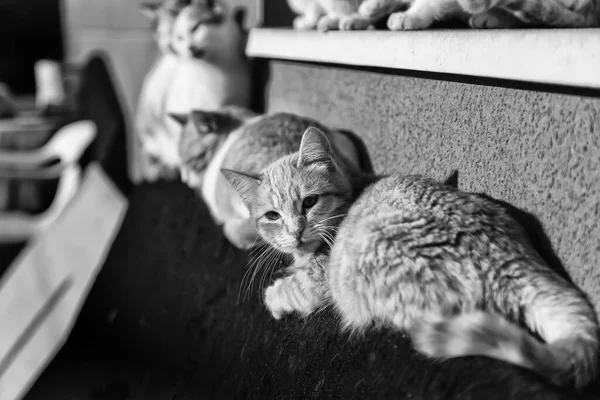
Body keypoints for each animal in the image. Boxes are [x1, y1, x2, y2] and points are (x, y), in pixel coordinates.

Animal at [224, 127, 600, 388]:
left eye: (309, 202)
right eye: (272, 216)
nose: (296, 231)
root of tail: (510, 265)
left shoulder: (320, 277)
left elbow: (291, 289)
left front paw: (274, 298)